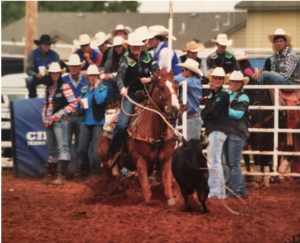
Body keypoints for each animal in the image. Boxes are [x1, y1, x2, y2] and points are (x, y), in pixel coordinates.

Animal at [97, 69, 179, 205]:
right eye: (162, 87)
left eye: (176, 87)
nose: (175, 109)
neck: (156, 133)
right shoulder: (140, 160)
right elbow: (146, 190)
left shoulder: (166, 160)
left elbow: (167, 186)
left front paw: (171, 200)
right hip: (105, 162)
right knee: (106, 178)